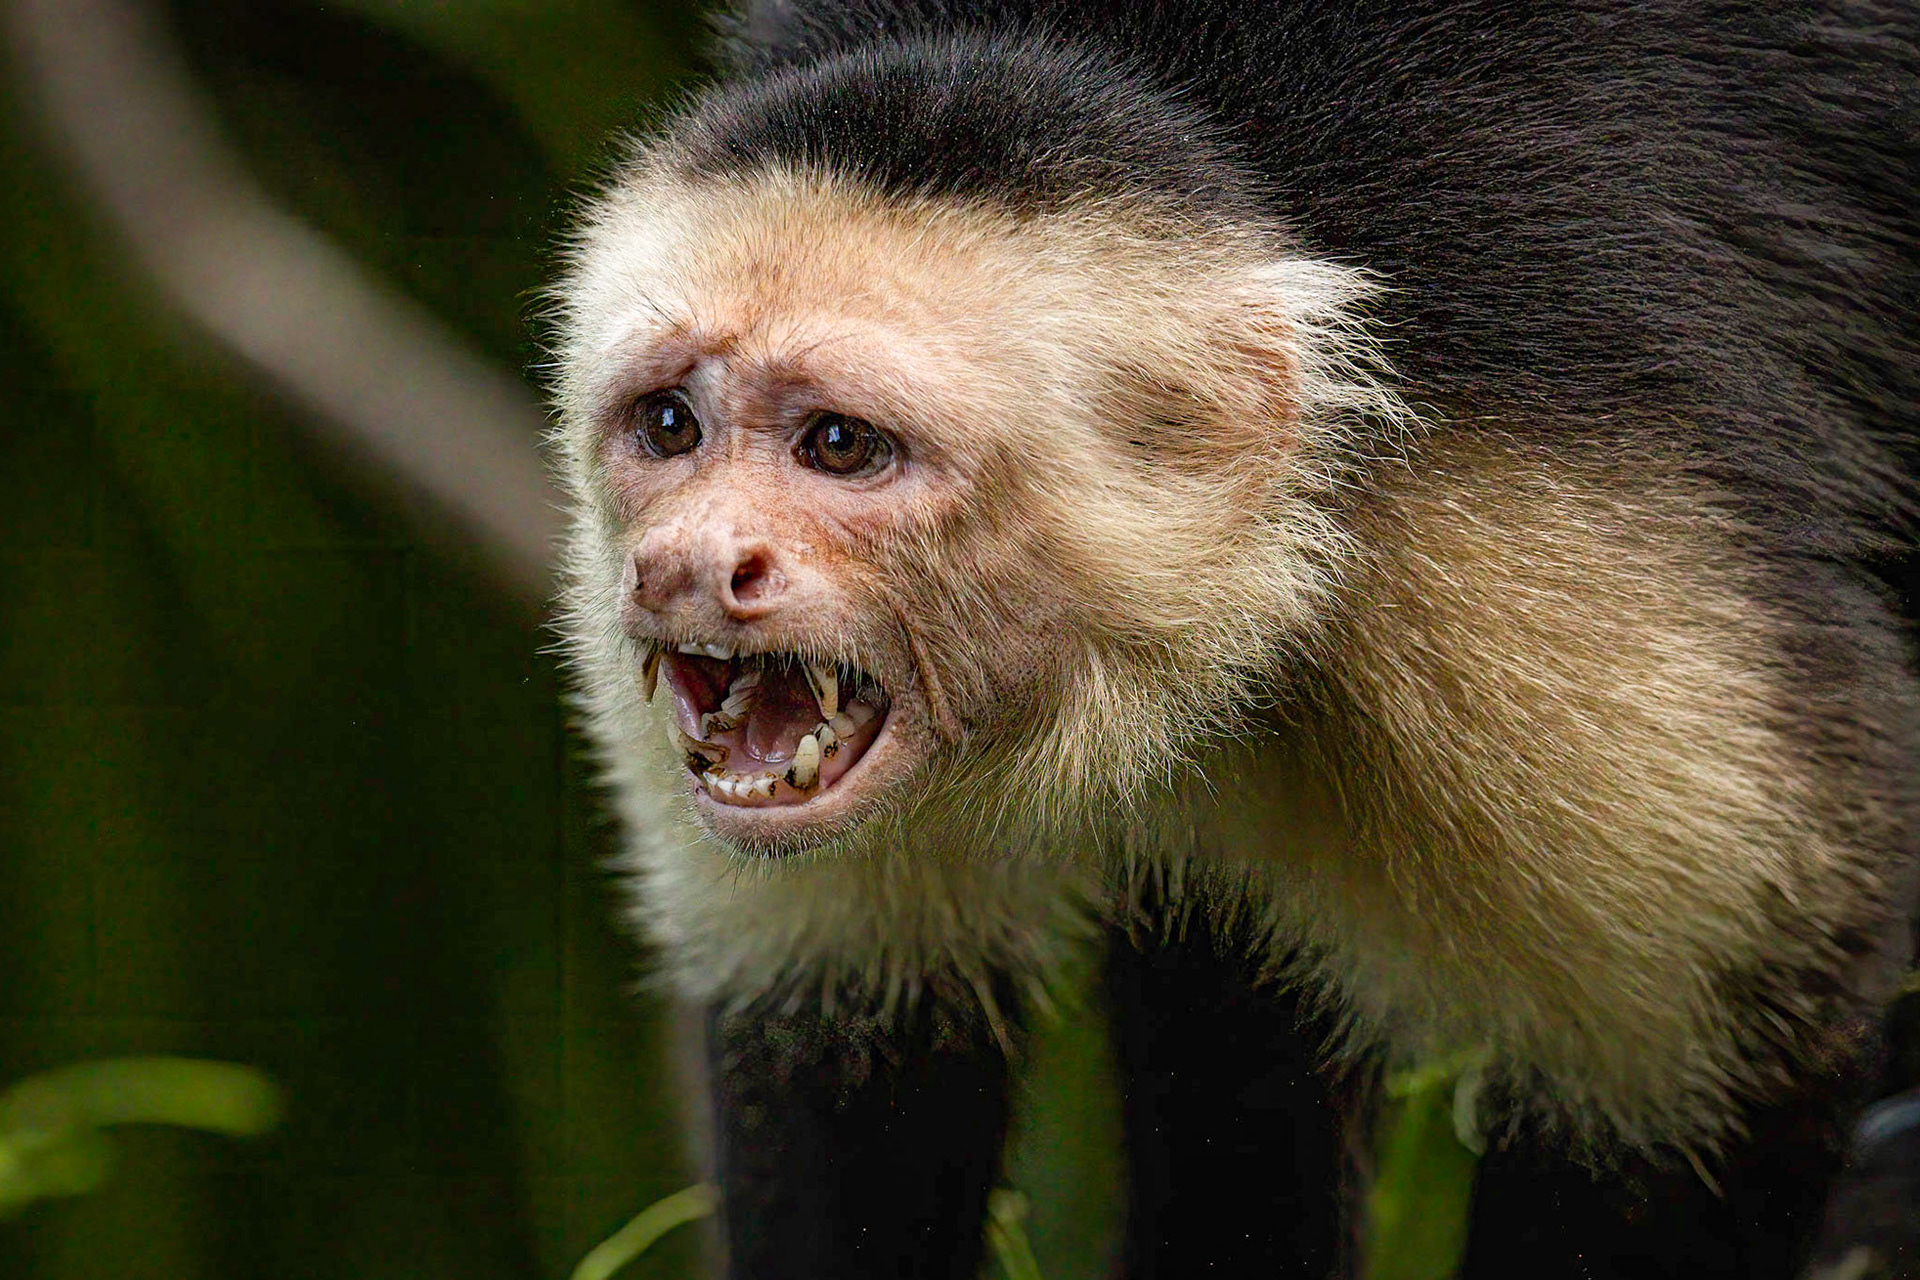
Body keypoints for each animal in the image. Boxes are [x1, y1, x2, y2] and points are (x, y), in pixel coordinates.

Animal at [546, 1, 1920, 1276]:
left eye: (839, 444)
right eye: (668, 425)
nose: (685, 563)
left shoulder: (1536, 546)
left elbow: (1722, 1040)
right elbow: (842, 1011)